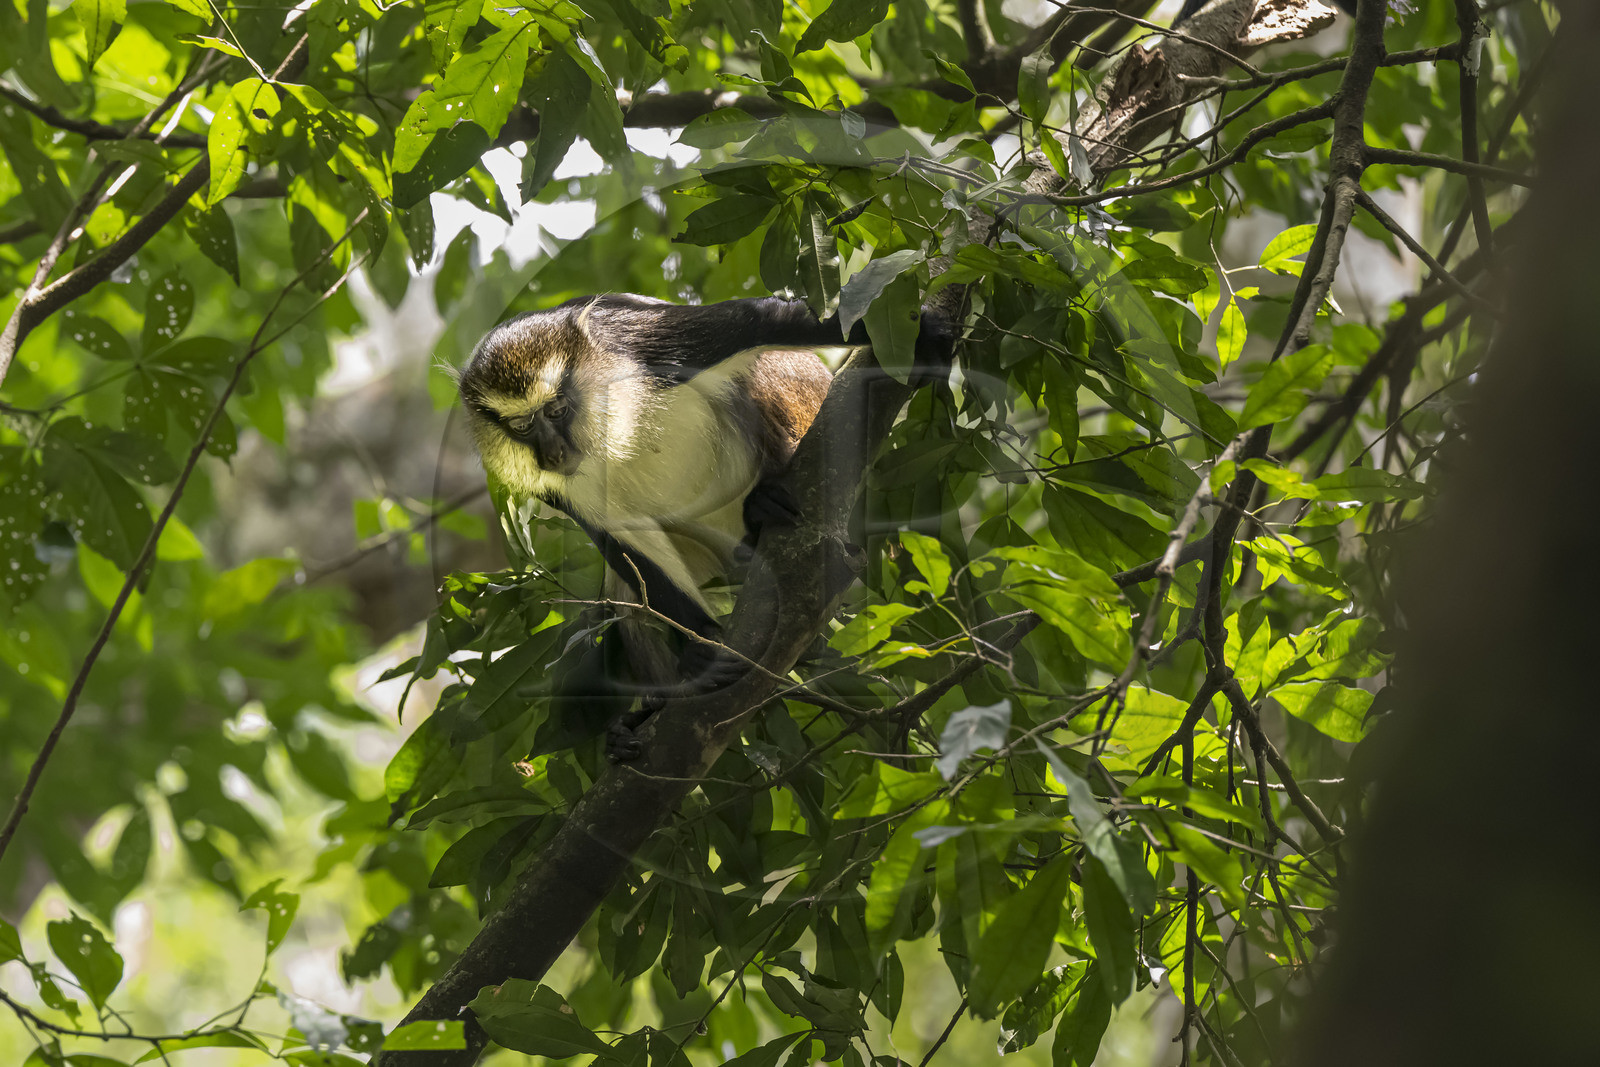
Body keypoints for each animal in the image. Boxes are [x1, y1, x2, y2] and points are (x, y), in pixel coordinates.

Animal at [457, 293, 954, 760]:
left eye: (557, 410)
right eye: (522, 426)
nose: (553, 454)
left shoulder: (644, 342)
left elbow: (758, 322)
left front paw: (926, 336)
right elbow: (624, 544)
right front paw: (704, 652)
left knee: (760, 373)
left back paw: (763, 512)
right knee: (627, 602)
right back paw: (647, 715)